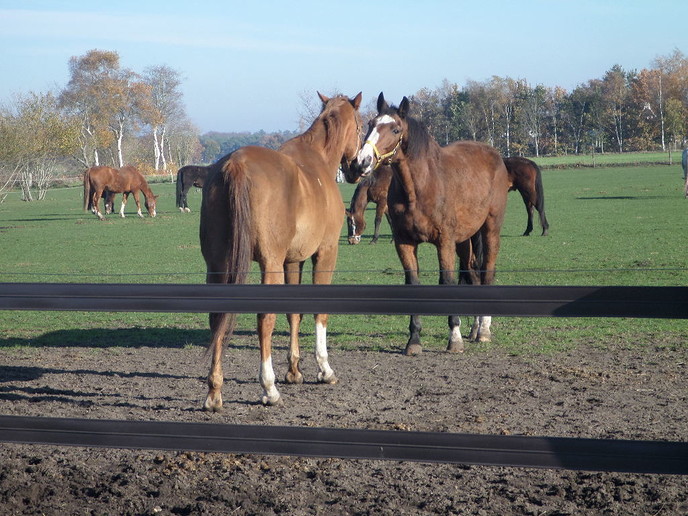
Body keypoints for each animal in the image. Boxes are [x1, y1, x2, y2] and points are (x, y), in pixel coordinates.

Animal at [199, 92, 362, 410]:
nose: (359, 167)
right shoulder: (325, 253)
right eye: (362, 127)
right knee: (265, 319)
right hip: (269, 264)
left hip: (218, 264)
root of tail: (235, 164)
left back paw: (215, 391)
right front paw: (324, 369)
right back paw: (269, 388)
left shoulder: (292, 261)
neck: (317, 160)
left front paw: (294, 370)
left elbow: (293, 313)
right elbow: (317, 312)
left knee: (217, 318)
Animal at [347, 93, 510, 356]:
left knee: (488, 272)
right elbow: (413, 283)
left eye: (395, 129)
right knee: (473, 273)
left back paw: (484, 329)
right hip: (464, 241)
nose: (361, 162)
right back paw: (474, 329)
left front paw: (454, 338)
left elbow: (448, 282)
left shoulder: (443, 242)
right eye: (370, 124)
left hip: (490, 229)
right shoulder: (405, 243)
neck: (421, 187)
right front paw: (414, 341)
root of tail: (494, 154)